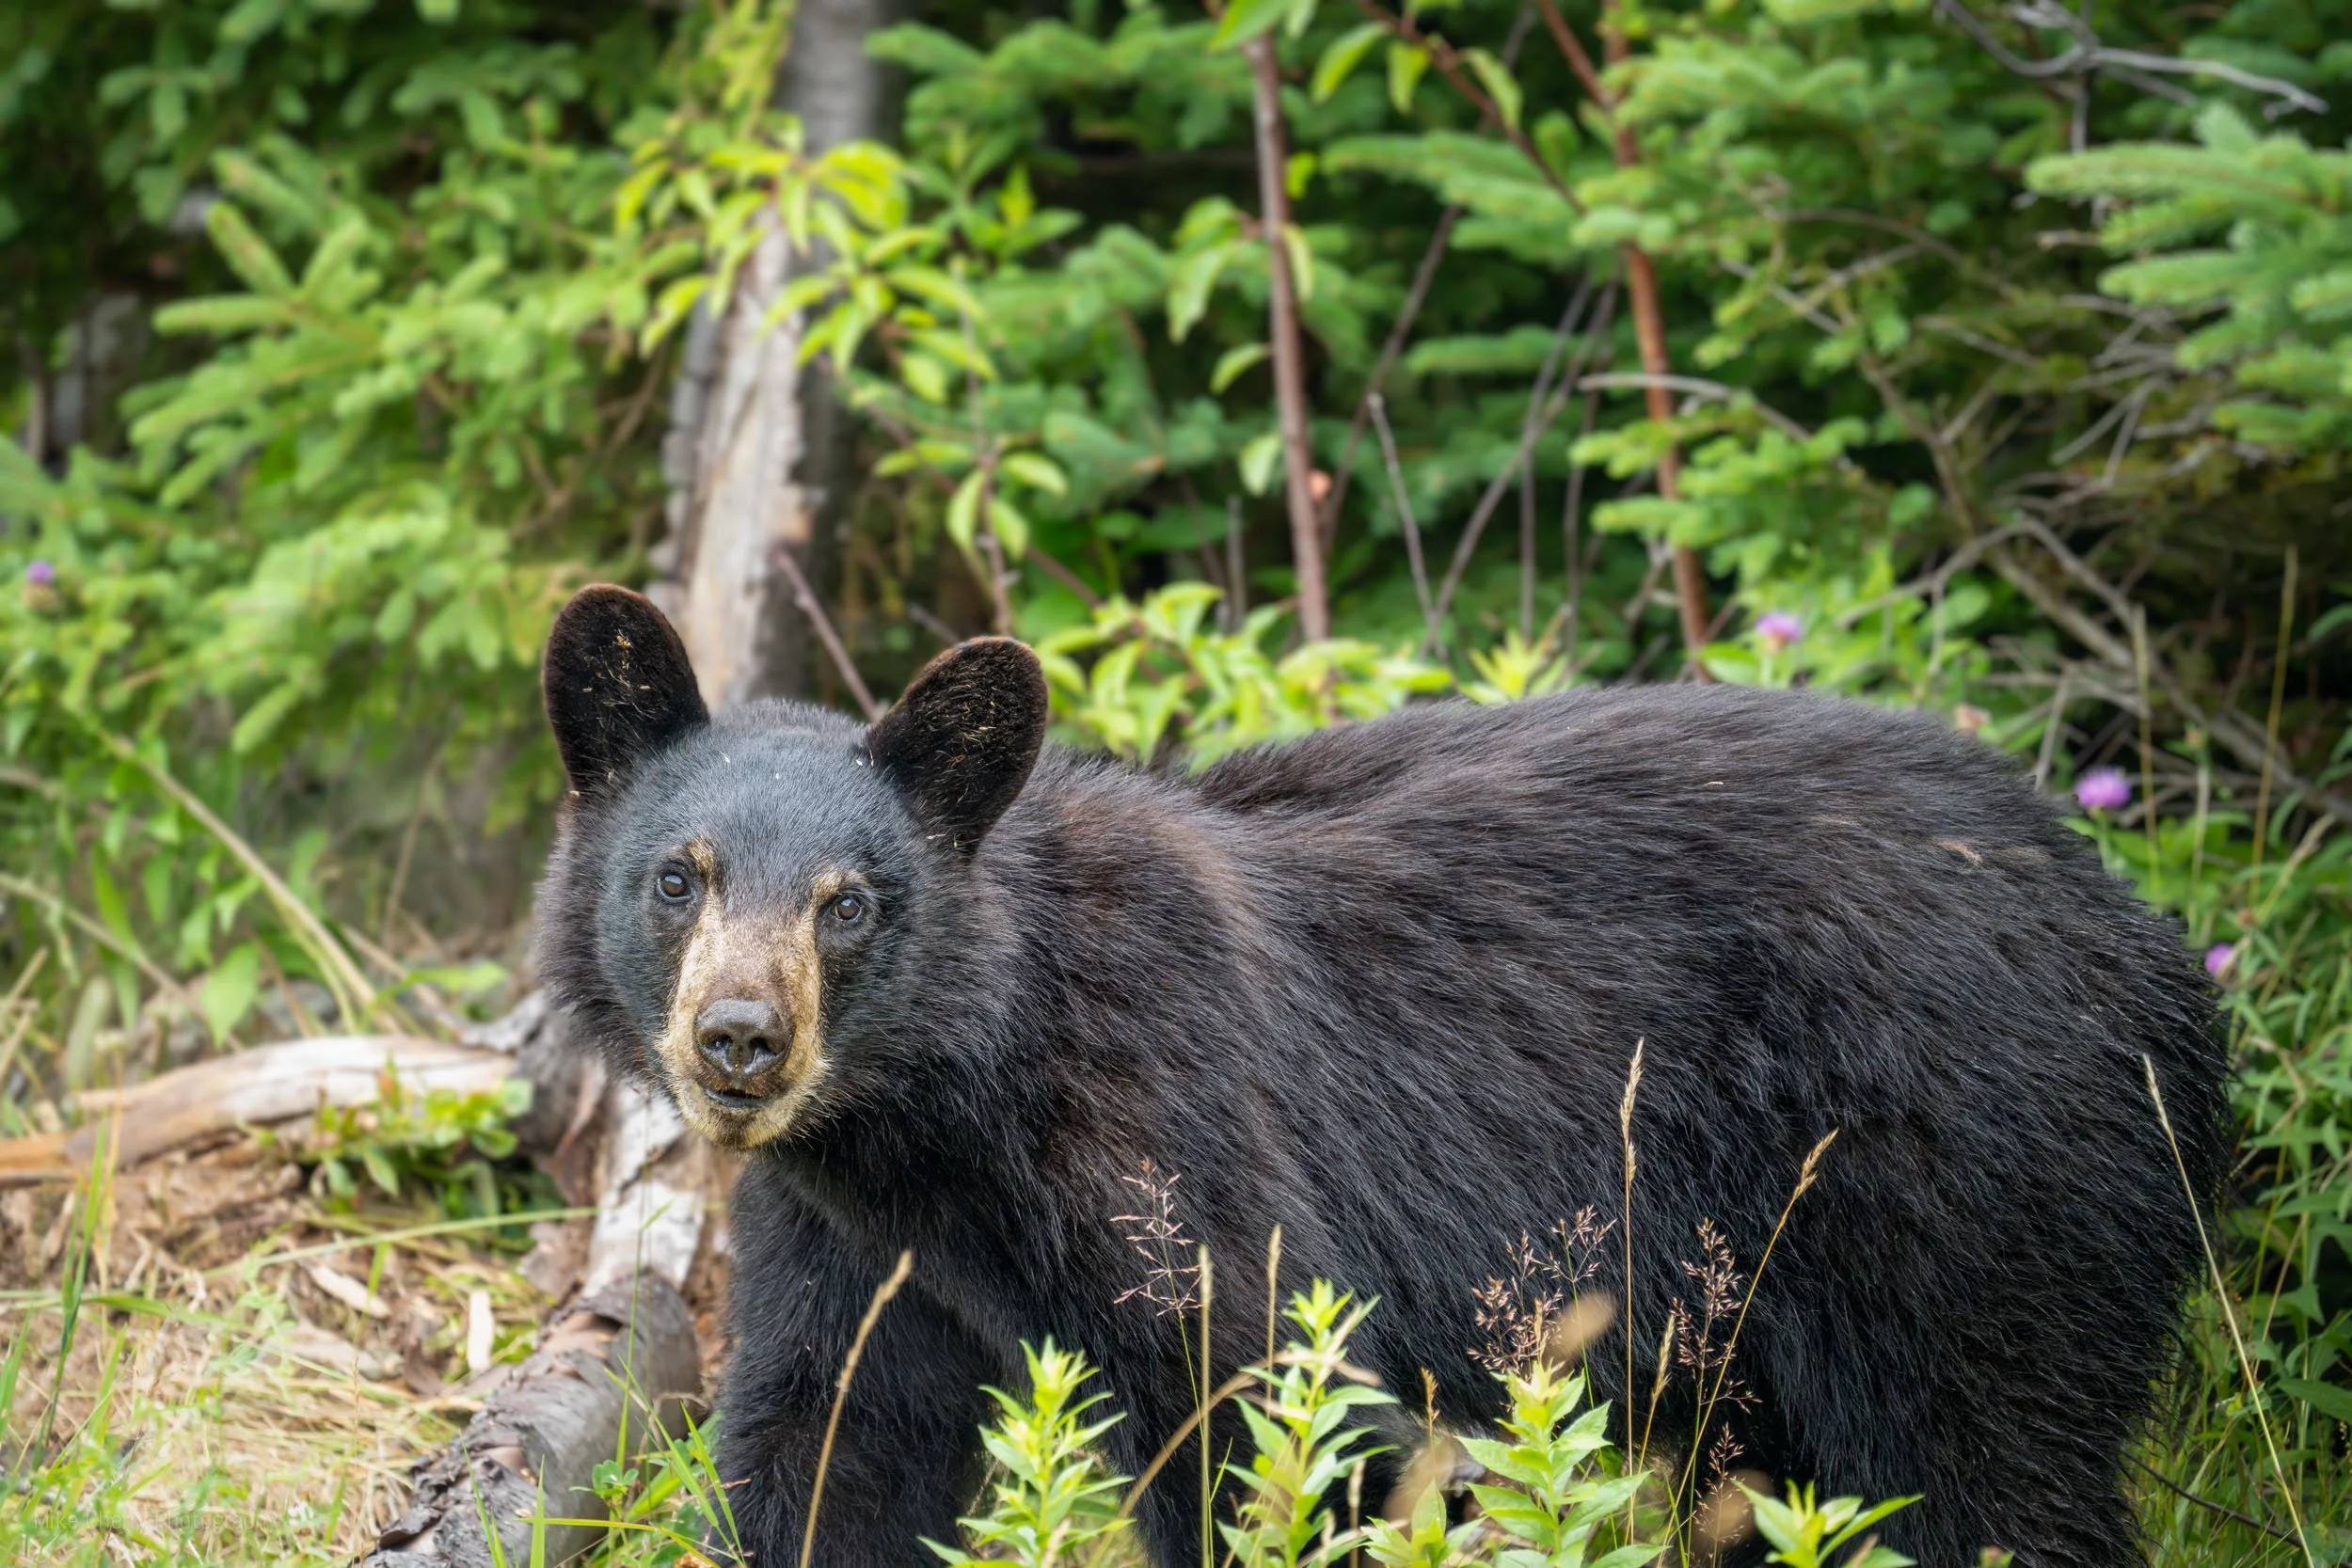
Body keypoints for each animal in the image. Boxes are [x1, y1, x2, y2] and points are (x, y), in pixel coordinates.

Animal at [534, 583, 2228, 1568]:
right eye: (679, 875)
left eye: (848, 901)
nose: (740, 1039)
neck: (946, 1110)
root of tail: (2144, 935)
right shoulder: (858, 1242)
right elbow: (832, 1449)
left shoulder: (1187, 1151)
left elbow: (1291, 1423)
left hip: (1961, 1178)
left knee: (1992, 1468)